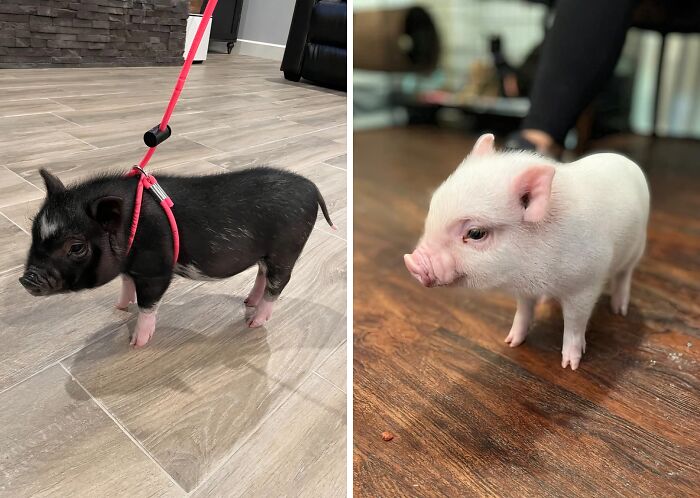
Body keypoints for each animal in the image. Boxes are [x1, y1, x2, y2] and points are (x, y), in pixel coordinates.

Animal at [19, 167, 335, 347]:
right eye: (34, 230)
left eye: (76, 247)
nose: (27, 279)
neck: (131, 226)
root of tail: (312, 187)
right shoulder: (130, 268)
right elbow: (126, 284)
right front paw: (120, 306)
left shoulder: (156, 270)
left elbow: (148, 305)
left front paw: (137, 342)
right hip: (267, 253)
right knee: (262, 274)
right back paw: (248, 302)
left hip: (287, 249)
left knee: (278, 283)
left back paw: (253, 322)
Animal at [404, 134, 649, 370]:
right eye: (433, 206)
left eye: (475, 233)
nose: (411, 261)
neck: (533, 274)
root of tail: (625, 160)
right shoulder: (525, 289)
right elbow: (523, 311)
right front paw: (511, 342)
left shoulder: (585, 284)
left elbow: (574, 323)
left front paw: (570, 365)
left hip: (636, 249)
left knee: (624, 275)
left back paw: (619, 310)